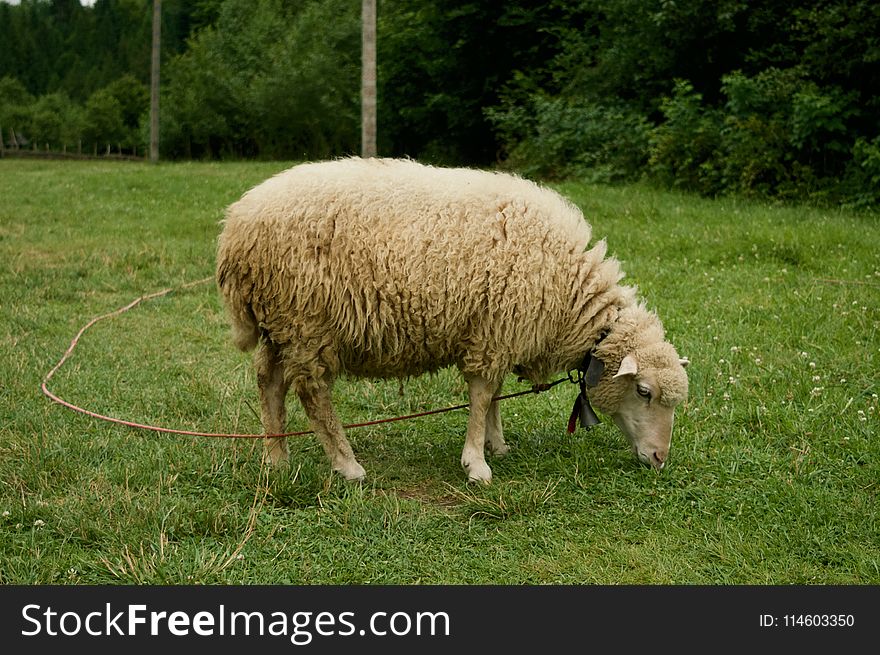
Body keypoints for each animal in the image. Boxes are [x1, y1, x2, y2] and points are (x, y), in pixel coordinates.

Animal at [217, 157, 692, 484]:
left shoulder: (498, 330)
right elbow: (481, 396)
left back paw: (276, 460)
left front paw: (496, 444)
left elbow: (494, 395)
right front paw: (476, 464)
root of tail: (235, 227)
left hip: (282, 324)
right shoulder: (495, 331)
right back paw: (347, 465)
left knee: (269, 382)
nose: (660, 459)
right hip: (307, 321)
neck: (569, 291)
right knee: (313, 393)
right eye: (644, 392)